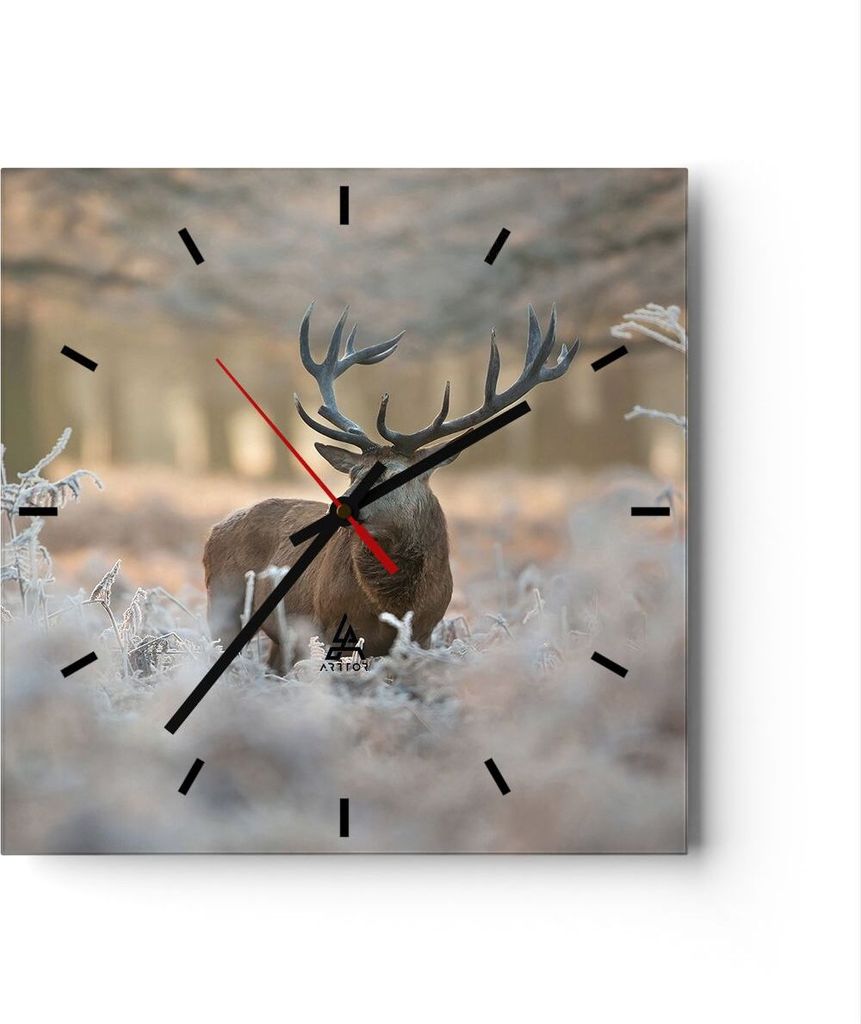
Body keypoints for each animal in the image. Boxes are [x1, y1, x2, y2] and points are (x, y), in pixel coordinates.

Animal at [203, 303, 579, 667]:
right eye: (354, 473)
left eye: (396, 474)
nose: (340, 505)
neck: (394, 603)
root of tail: (215, 529)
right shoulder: (329, 623)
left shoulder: (425, 631)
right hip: (221, 601)